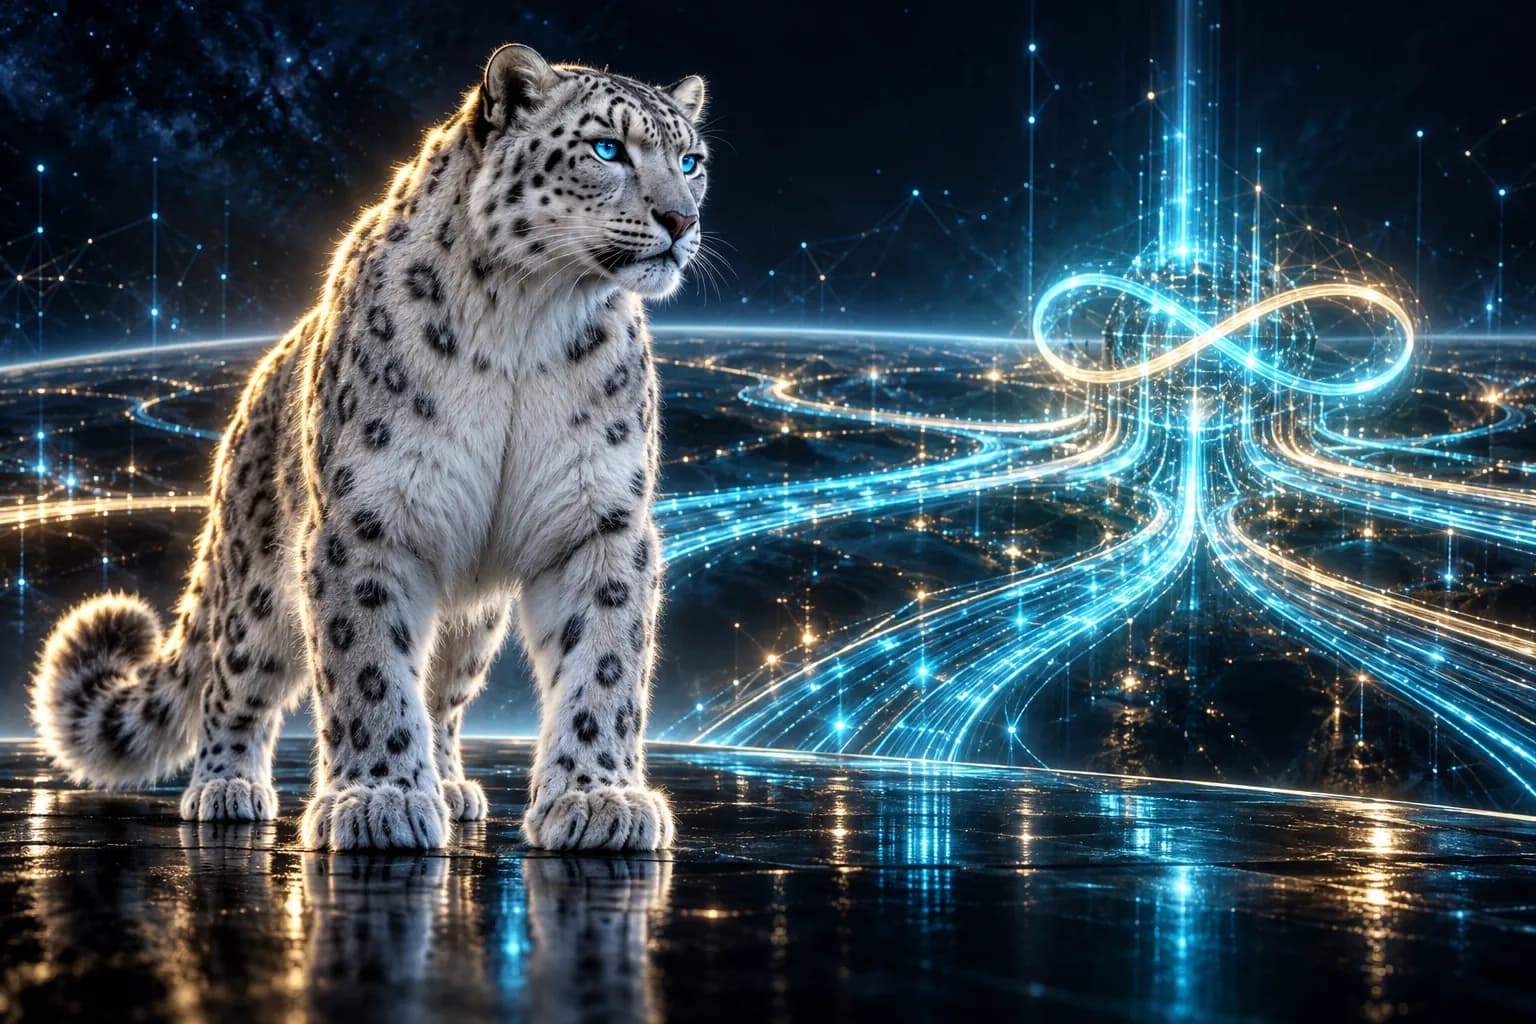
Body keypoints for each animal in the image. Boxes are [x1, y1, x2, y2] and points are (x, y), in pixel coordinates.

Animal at [29, 43, 710, 851]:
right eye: (607, 149)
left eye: (691, 160)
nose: (682, 217)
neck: (527, 318)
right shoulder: (367, 517)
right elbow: (369, 668)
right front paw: (379, 799)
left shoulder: (599, 519)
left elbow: (604, 662)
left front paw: (600, 798)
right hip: (258, 590)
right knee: (233, 685)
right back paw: (226, 787)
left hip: (473, 618)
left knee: (443, 694)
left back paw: (451, 786)